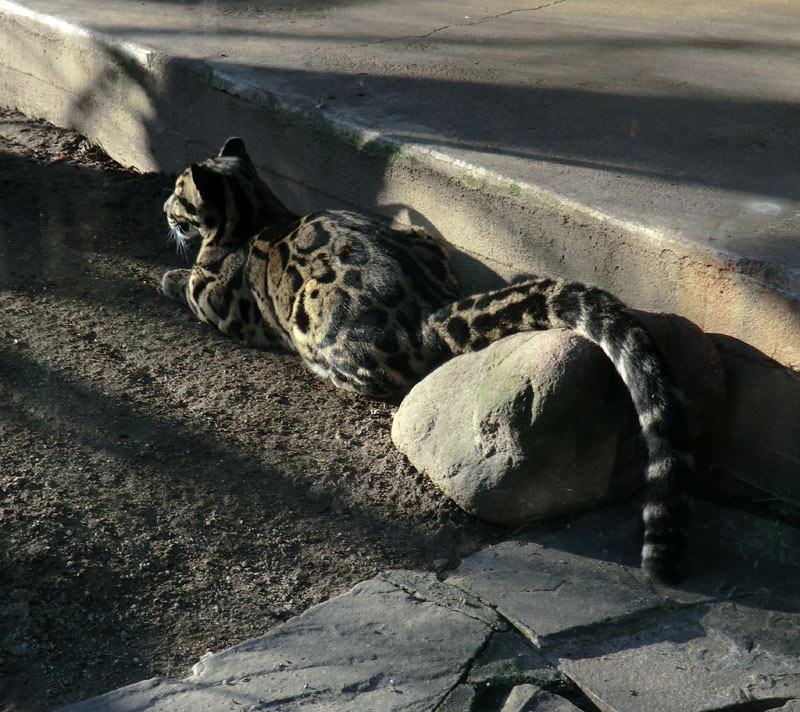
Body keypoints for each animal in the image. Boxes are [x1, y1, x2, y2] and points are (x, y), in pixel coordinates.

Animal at [159, 136, 692, 580]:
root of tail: (430, 306)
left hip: (316, 318)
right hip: (422, 236)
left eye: (178, 193)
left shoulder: (220, 305)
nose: (164, 207)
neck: (256, 210)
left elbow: (189, 285)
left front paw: (168, 275)